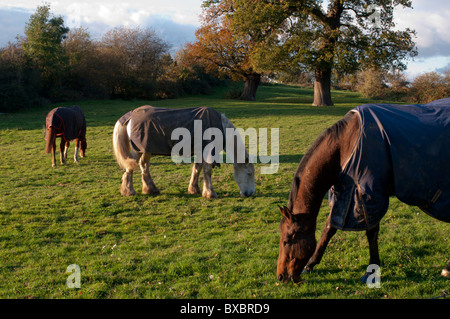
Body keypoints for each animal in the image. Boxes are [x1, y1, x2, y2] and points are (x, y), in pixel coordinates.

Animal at [112, 106, 255, 199]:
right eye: (249, 173)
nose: (250, 193)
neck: (220, 127)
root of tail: (131, 115)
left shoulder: (200, 151)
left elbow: (197, 169)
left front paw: (194, 189)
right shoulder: (207, 151)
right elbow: (207, 171)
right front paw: (210, 193)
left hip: (146, 149)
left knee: (144, 166)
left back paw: (150, 189)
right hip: (138, 150)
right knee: (130, 167)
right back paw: (128, 191)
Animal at [278, 99, 450, 284]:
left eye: (288, 239)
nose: (281, 276)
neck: (346, 143)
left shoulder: (367, 195)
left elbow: (371, 232)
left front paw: (371, 271)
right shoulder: (345, 195)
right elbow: (329, 228)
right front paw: (311, 264)